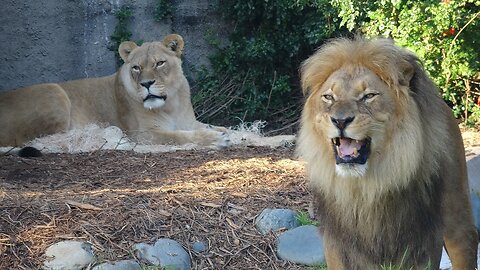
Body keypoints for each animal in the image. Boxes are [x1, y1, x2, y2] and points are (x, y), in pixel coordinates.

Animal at [0, 34, 229, 148]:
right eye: (136, 67)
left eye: (160, 63)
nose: (146, 84)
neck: (171, 102)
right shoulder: (143, 135)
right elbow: (180, 137)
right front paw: (214, 139)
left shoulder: (187, 121)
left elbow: (211, 126)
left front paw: (226, 131)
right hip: (54, 91)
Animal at [298, 37, 478, 268]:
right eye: (329, 97)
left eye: (369, 96)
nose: (340, 120)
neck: (366, 187)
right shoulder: (337, 244)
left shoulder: (423, 242)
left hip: (457, 217)